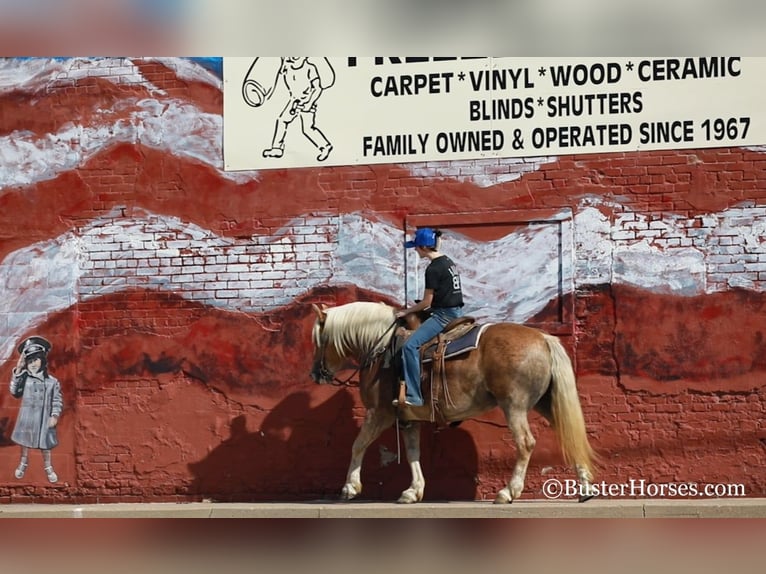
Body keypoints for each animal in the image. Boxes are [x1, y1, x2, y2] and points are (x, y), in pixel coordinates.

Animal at [308, 302, 596, 504]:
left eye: (318, 342)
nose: (314, 375)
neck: (381, 345)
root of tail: (544, 339)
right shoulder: (408, 417)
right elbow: (413, 453)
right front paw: (413, 491)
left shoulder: (380, 413)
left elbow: (358, 444)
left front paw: (350, 487)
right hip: (545, 403)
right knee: (568, 434)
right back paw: (585, 487)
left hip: (513, 404)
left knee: (525, 443)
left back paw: (508, 491)